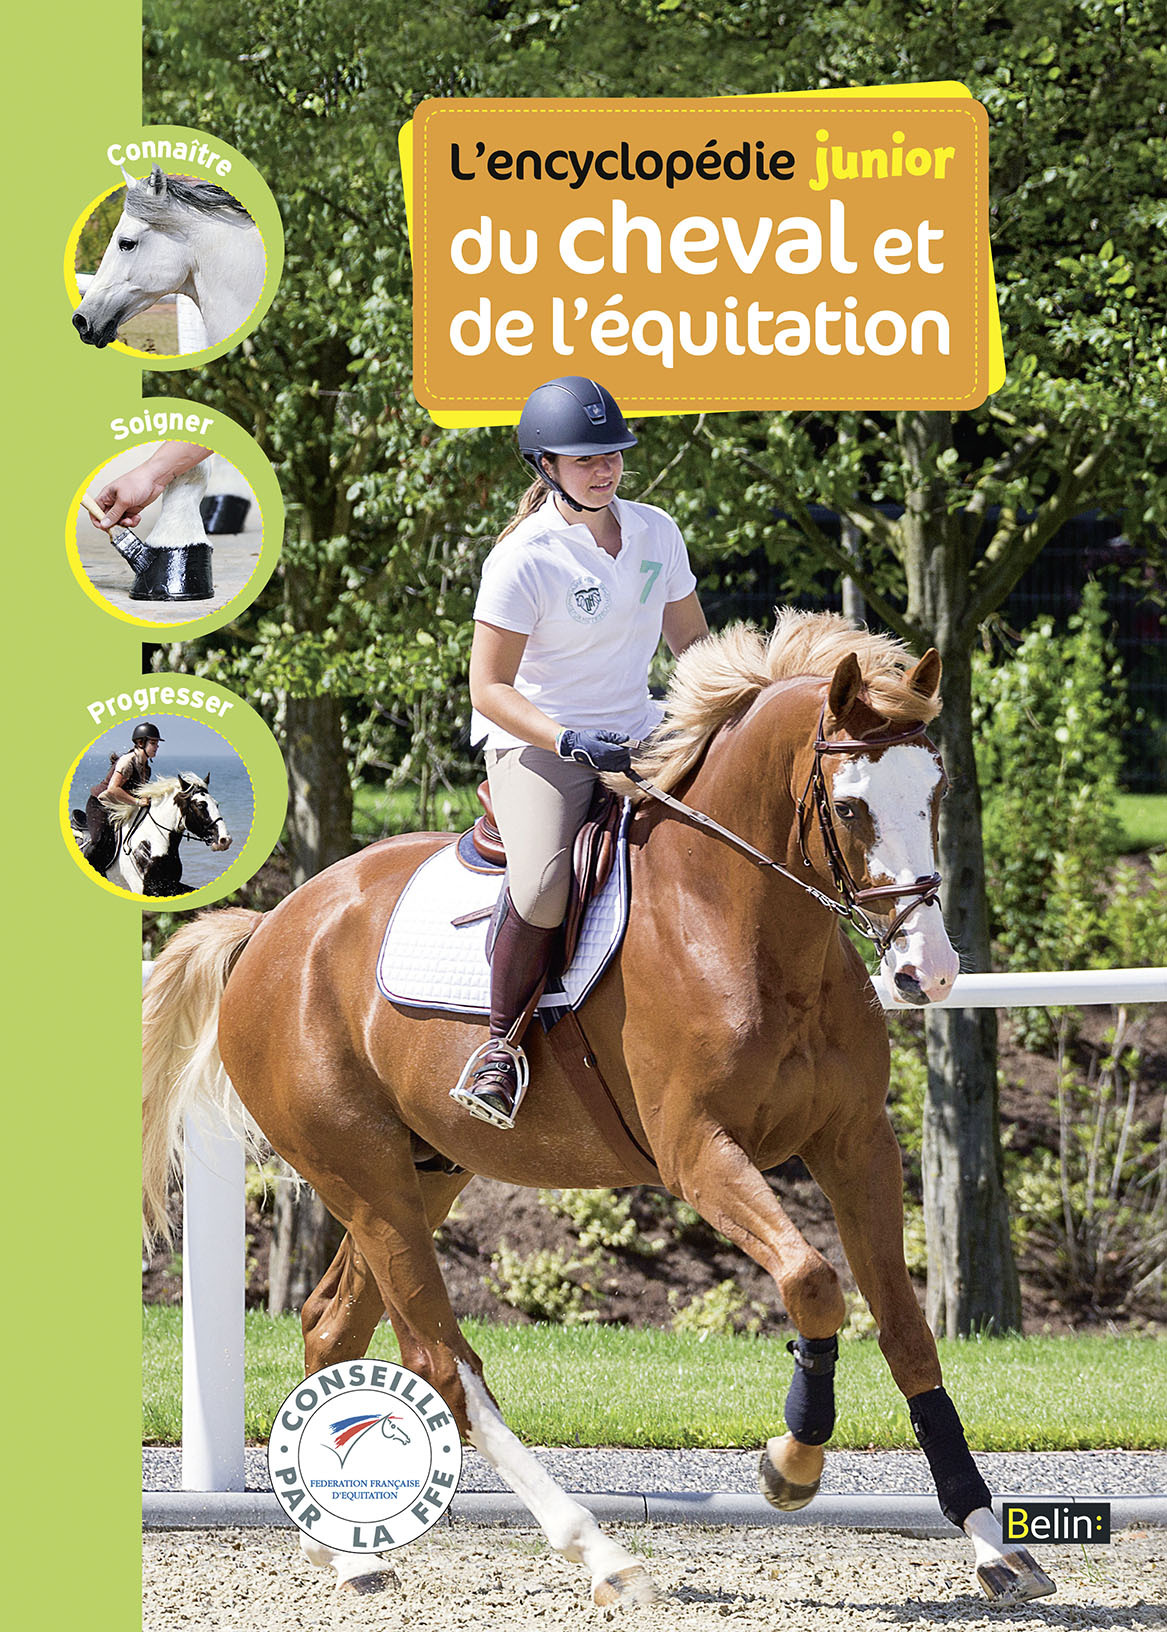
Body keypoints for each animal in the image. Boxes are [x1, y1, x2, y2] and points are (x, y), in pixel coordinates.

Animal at [74, 772, 231, 895]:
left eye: (216, 804)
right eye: (200, 805)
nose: (225, 840)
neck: (151, 843)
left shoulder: (170, 886)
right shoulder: (143, 889)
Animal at [142, 612, 1054, 1608]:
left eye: (933, 791)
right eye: (850, 808)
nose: (927, 971)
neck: (746, 923)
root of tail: (269, 930)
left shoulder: (854, 1144)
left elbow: (906, 1329)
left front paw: (989, 1540)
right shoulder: (697, 1151)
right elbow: (812, 1282)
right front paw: (790, 1464)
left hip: (423, 1172)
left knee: (332, 1323)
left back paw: (345, 1550)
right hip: (364, 1175)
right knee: (441, 1362)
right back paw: (596, 1549)